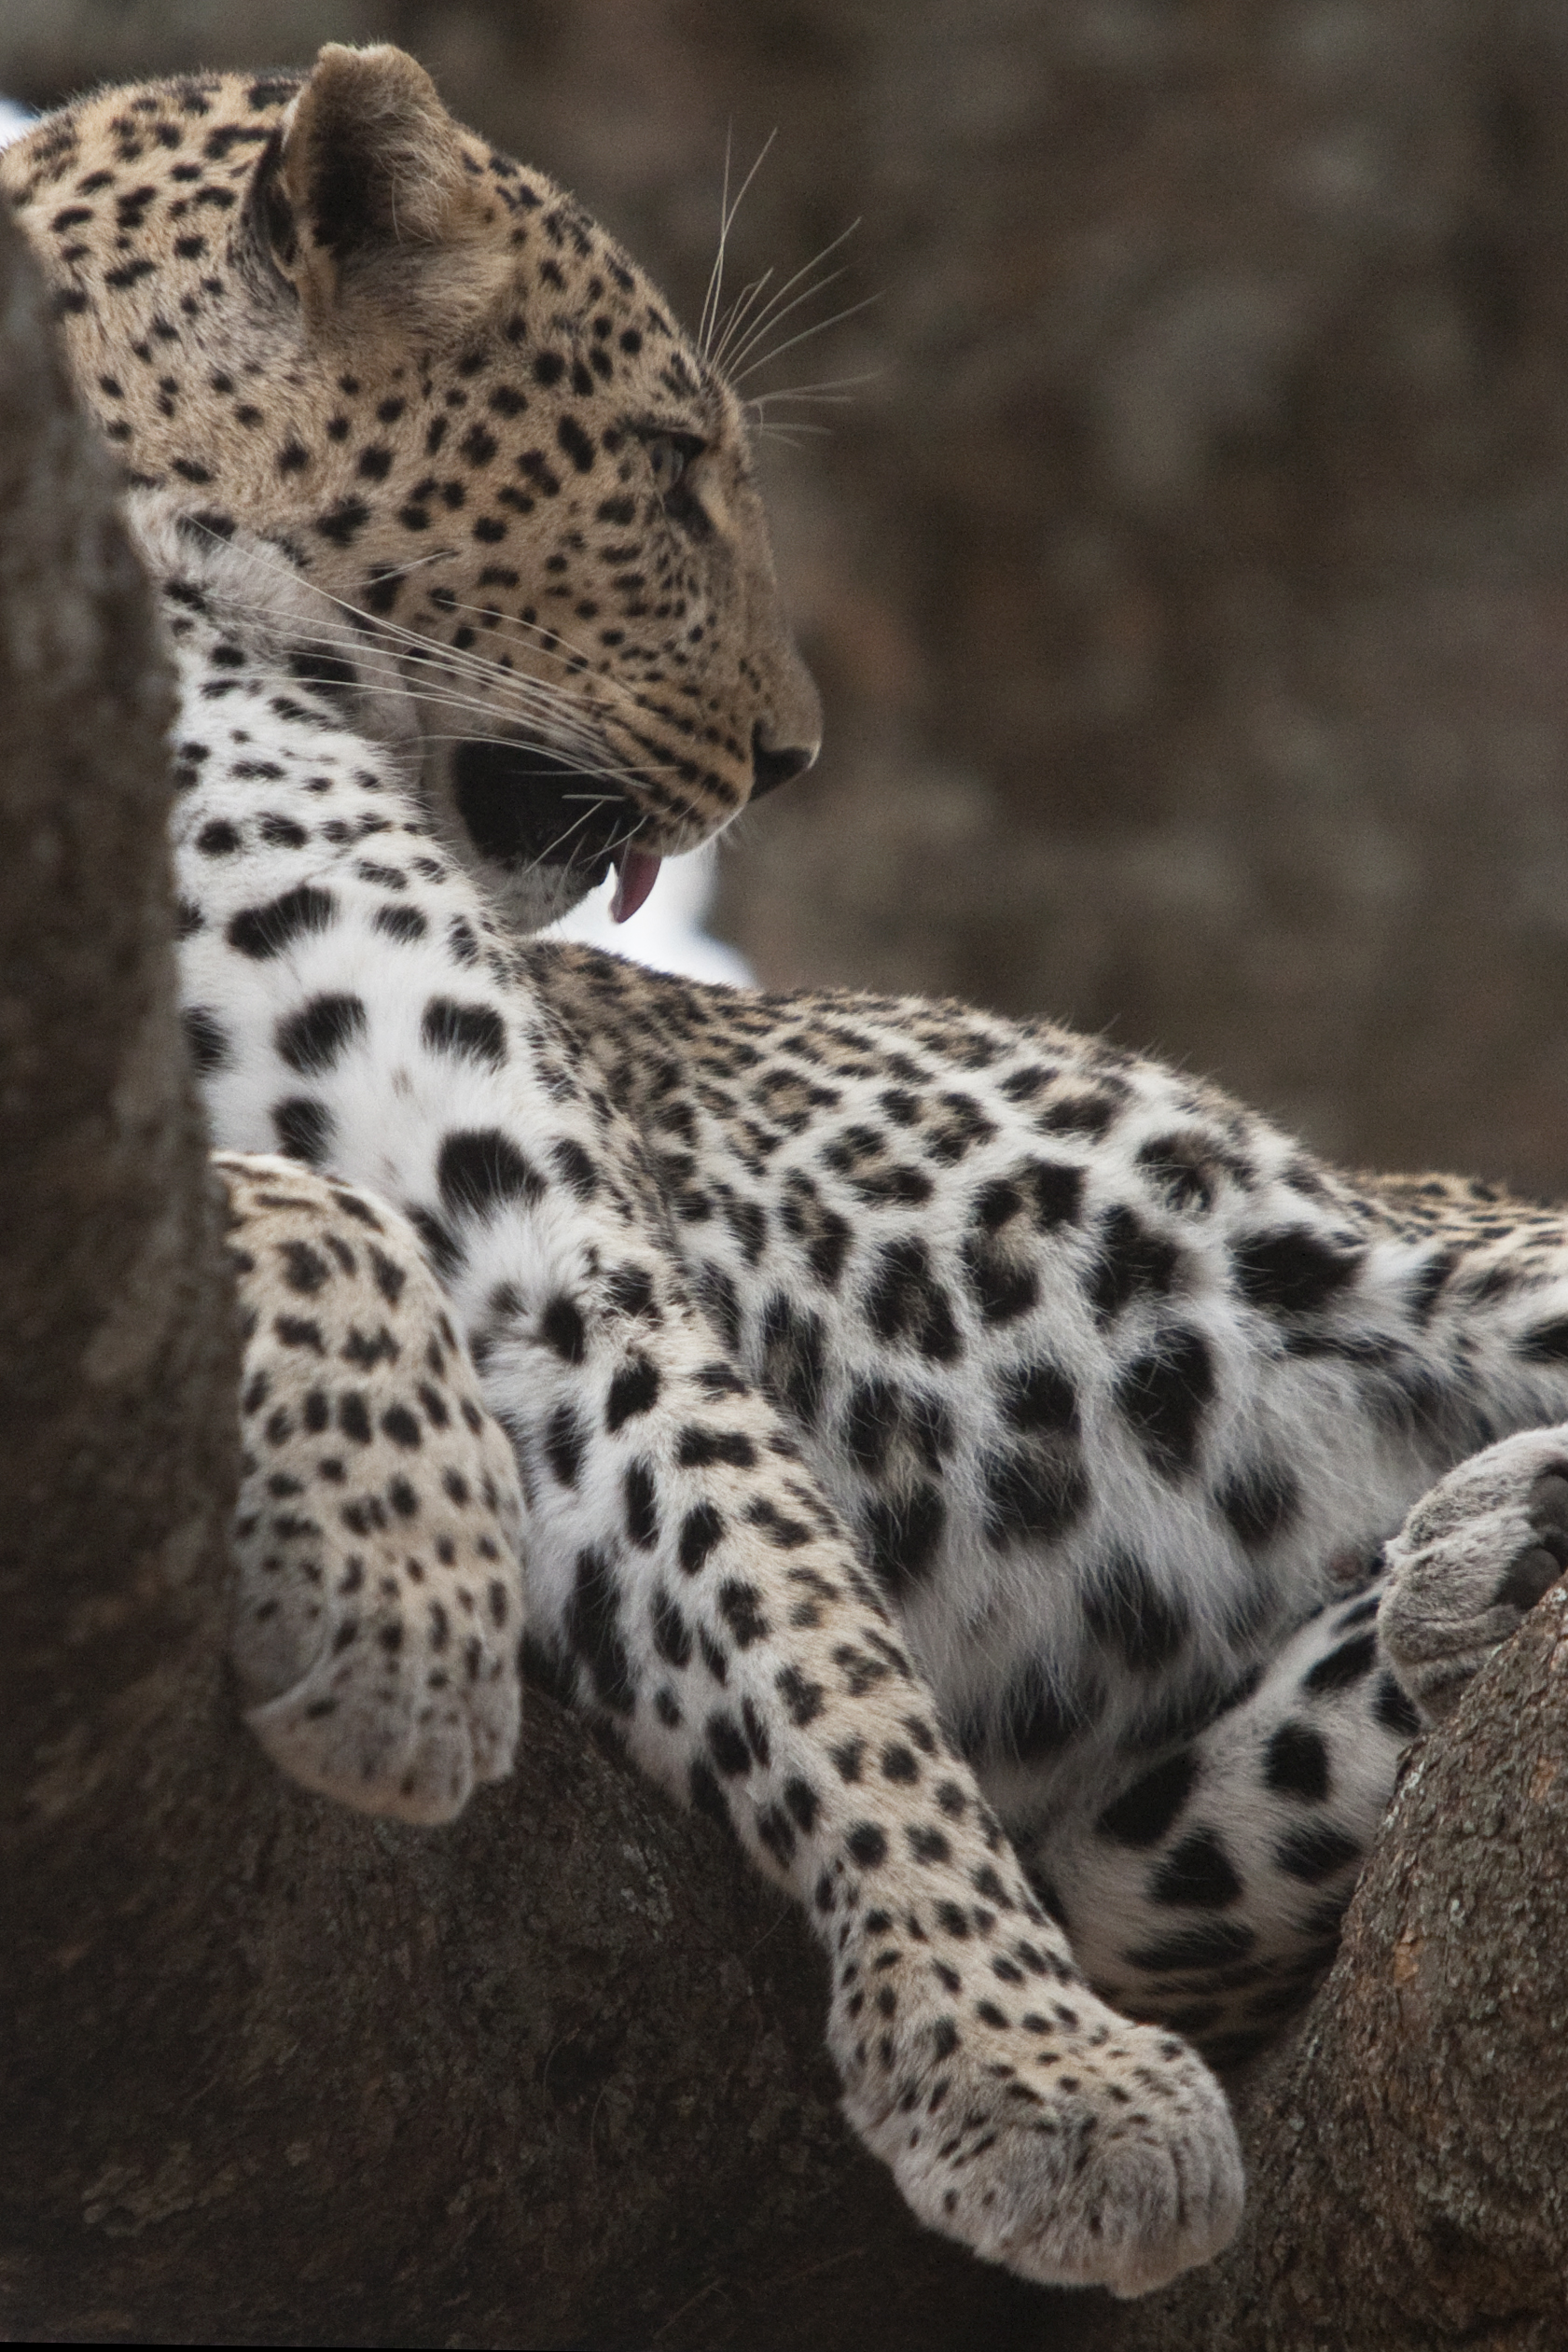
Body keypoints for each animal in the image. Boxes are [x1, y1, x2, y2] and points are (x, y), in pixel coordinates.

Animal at [10, 41, 1568, 2303]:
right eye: (670, 472)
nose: (792, 755)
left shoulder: (549, 1245)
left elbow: (818, 1648)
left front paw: (1024, 2069)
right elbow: (310, 1210)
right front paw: (406, 1599)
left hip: (1387, 1251)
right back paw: (1478, 1571)